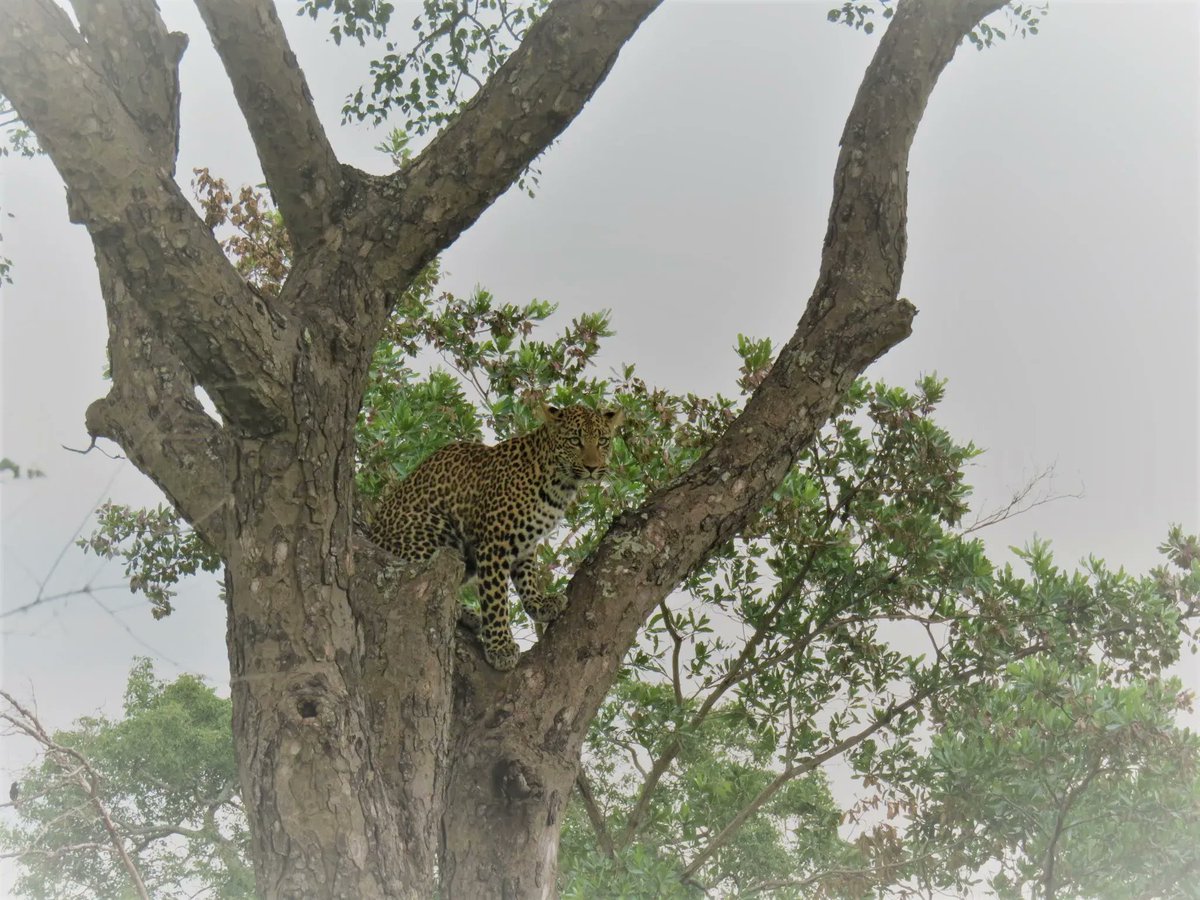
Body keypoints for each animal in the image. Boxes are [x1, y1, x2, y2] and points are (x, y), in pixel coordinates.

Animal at [369, 405, 624, 672]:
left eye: (603, 441)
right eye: (575, 440)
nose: (593, 467)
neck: (559, 484)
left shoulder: (526, 542)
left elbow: (527, 575)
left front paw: (539, 604)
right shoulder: (495, 544)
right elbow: (496, 598)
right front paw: (500, 647)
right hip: (433, 528)